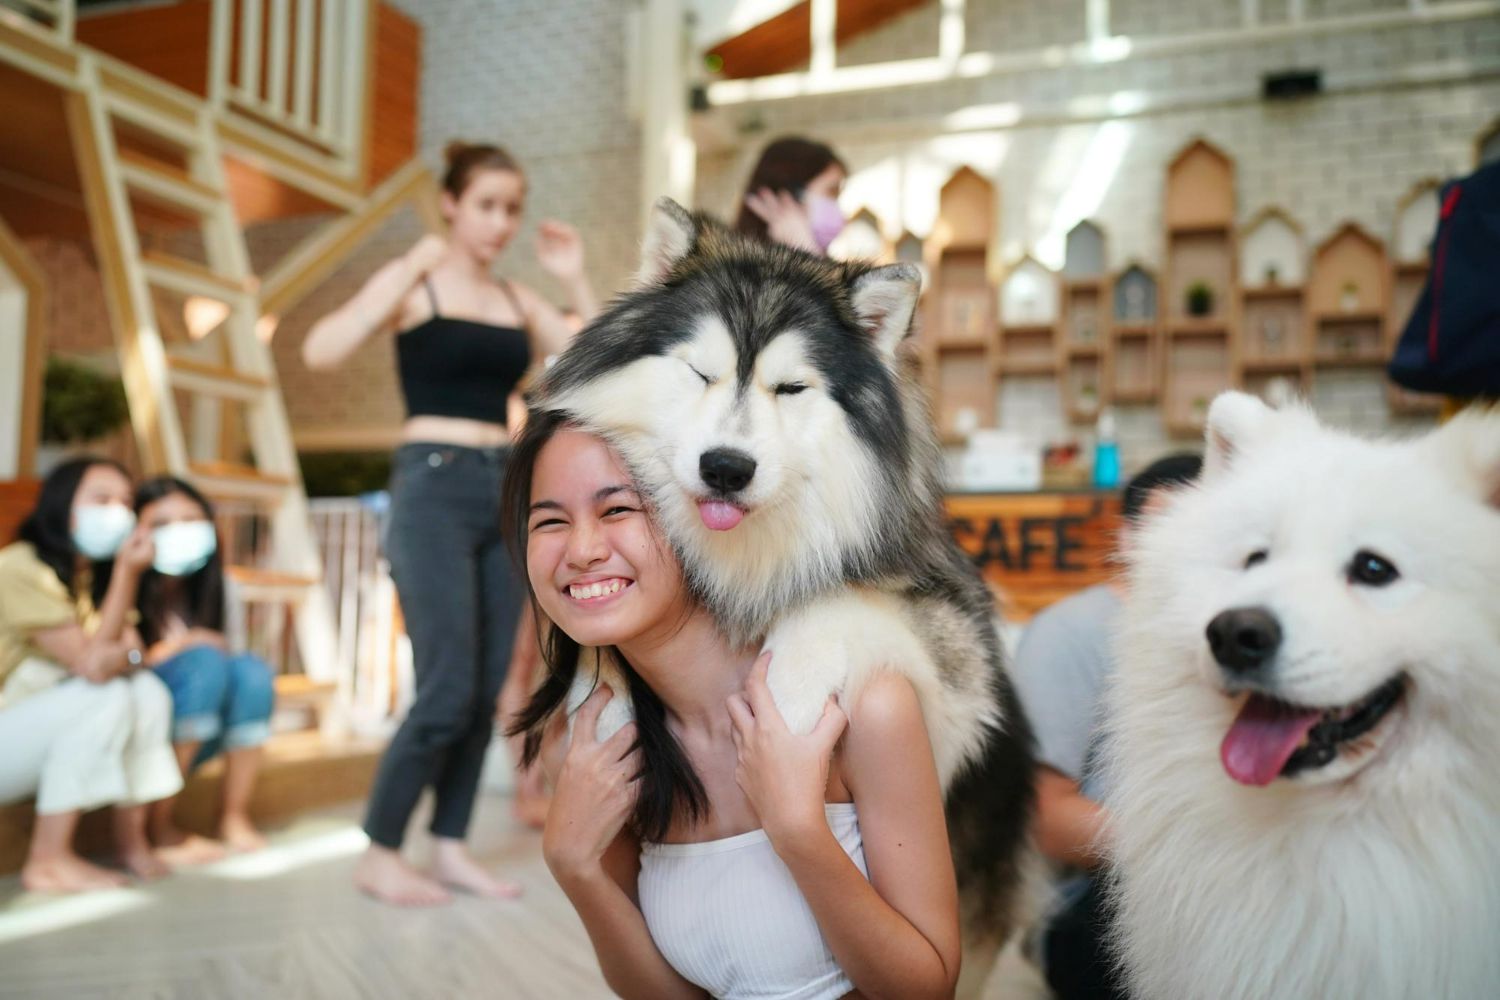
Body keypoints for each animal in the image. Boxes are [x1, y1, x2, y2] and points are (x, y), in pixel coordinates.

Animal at [534, 199, 1038, 989]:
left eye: (791, 388)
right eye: (701, 371)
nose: (726, 467)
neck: (745, 560)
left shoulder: (960, 681)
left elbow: (835, 602)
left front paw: (787, 702)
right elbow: (600, 652)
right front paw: (604, 708)